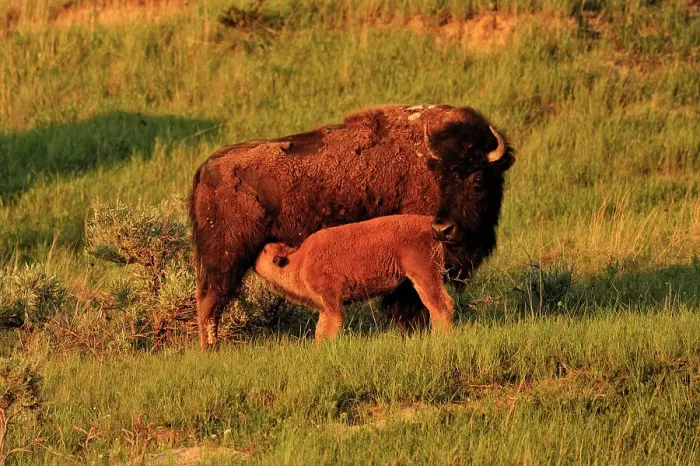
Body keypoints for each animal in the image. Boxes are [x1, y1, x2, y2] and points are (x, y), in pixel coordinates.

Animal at [254, 215, 454, 340]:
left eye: (265, 251)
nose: (256, 253)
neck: (299, 260)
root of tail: (430, 226)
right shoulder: (324, 307)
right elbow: (320, 330)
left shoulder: (332, 301)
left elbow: (332, 326)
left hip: (425, 276)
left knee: (441, 306)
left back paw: (439, 339)